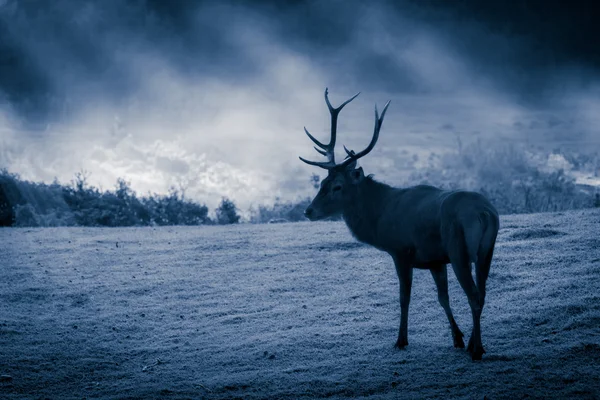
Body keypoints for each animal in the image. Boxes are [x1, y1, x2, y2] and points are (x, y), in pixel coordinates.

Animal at [298, 88, 500, 360]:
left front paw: (401, 340)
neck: (380, 218)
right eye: (322, 182)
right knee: (483, 292)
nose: (308, 211)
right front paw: (457, 338)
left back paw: (477, 350)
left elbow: (404, 298)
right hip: (486, 251)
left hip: (459, 250)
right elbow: (442, 297)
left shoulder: (401, 251)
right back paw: (473, 343)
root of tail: (484, 213)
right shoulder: (435, 260)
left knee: (475, 295)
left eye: (338, 186)